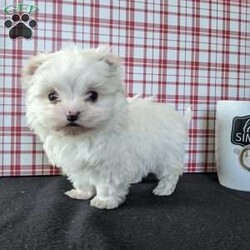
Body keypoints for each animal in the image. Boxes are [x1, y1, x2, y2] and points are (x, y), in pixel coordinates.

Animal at [22, 46, 191, 209]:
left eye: (93, 95)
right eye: (52, 96)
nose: (72, 114)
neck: (82, 136)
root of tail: (180, 119)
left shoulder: (110, 164)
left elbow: (107, 185)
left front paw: (104, 201)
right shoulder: (77, 165)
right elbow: (82, 180)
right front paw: (82, 193)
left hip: (167, 154)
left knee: (171, 172)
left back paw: (164, 189)